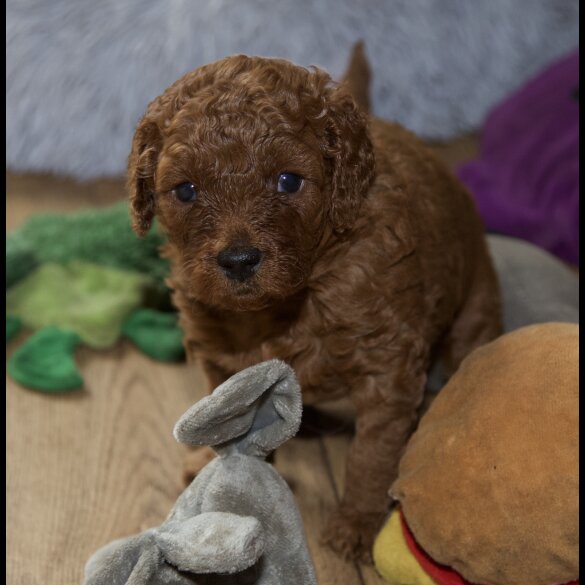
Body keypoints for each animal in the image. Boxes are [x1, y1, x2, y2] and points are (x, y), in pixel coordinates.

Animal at [128, 52, 502, 560]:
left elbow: (372, 452)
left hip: (475, 300)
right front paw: (215, 465)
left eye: (288, 181)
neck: (290, 303)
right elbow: (223, 419)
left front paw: (358, 524)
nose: (239, 259)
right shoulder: (218, 355)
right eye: (185, 190)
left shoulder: (386, 365)